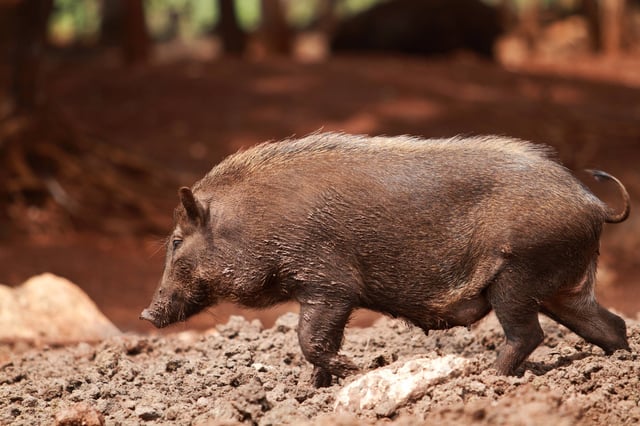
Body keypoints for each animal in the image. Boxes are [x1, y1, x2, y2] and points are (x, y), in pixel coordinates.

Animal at [141, 133, 631, 387]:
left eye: (177, 241)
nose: (146, 313)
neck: (253, 222)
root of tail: (591, 204)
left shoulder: (328, 283)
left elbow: (310, 340)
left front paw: (358, 373)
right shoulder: (323, 290)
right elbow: (317, 345)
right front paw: (317, 389)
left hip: (518, 275)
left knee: (529, 334)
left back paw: (487, 379)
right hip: (560, 286)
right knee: (610, 324)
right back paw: (621, 363)